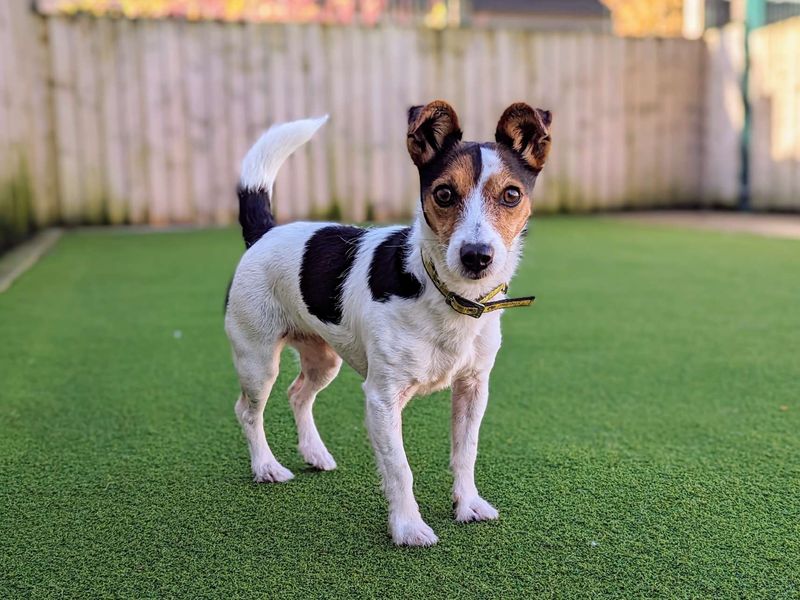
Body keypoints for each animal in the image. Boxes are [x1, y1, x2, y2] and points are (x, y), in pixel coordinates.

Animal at [225, 101, 552, 548]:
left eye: (512, 195)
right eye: (444, 194)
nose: (476, 256)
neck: (447, 297)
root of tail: (264, 233)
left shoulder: (473, 388)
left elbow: (465, 452)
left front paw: (467, 505)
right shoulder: (382, 398)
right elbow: (399, 468)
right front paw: (408, 526)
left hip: (324, 359)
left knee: (298, 394)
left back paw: (315, 454)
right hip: (257, 360)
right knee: (248, 410)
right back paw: (266, 467)